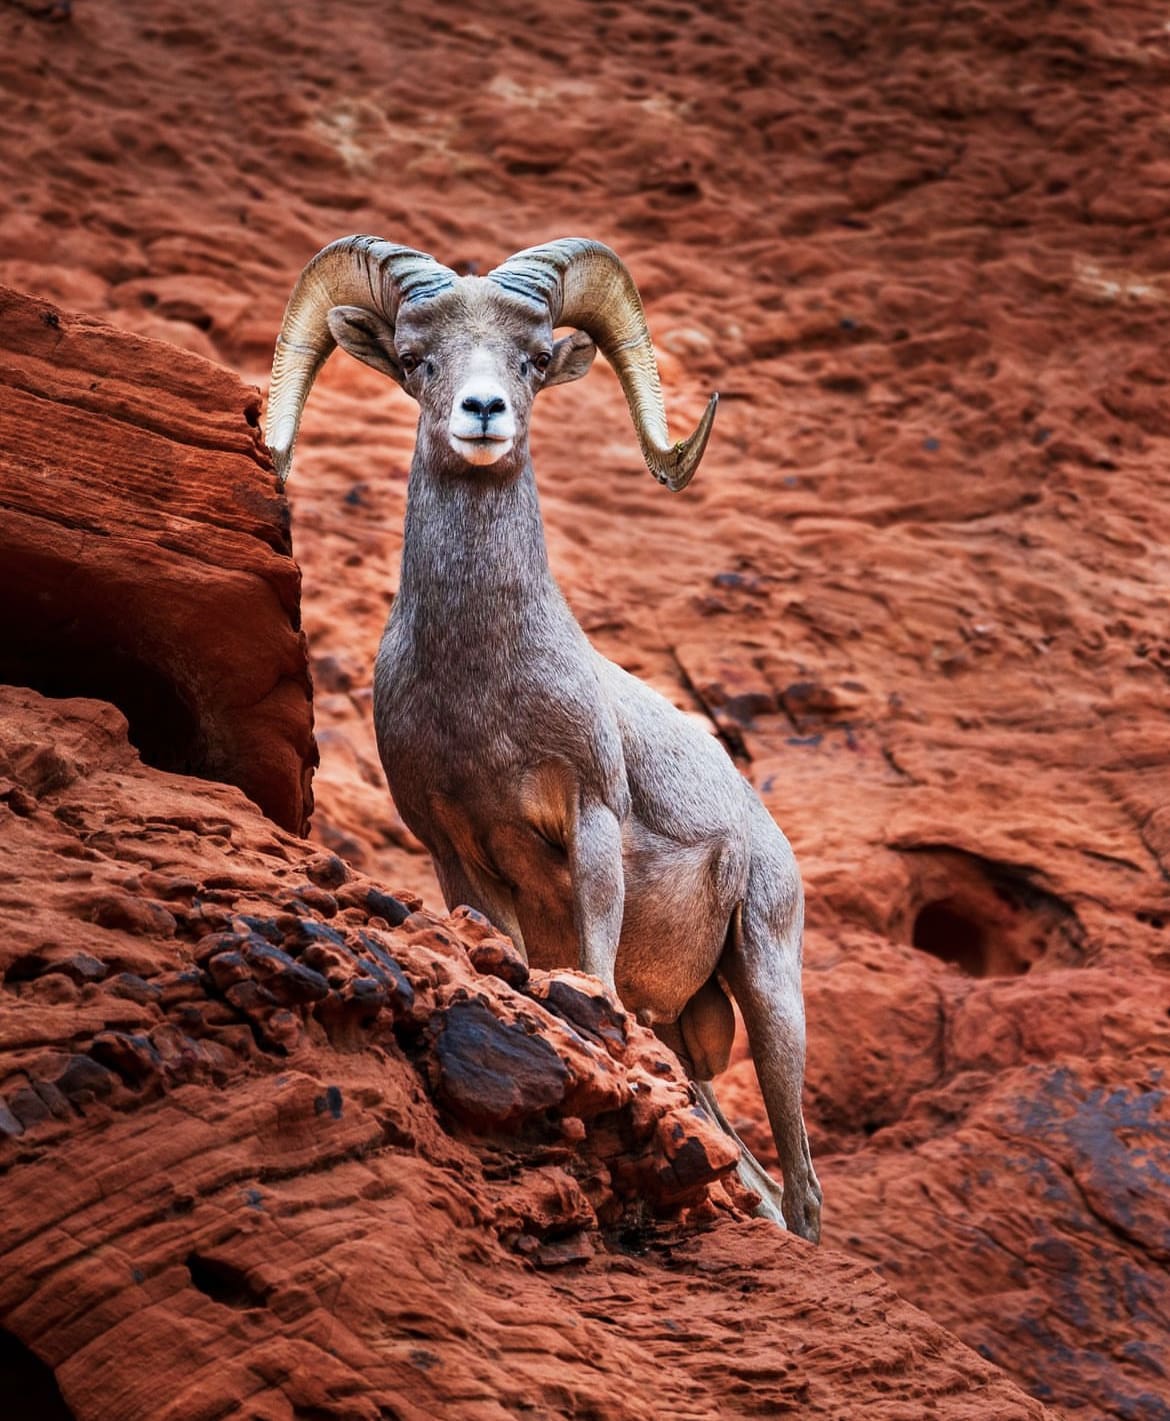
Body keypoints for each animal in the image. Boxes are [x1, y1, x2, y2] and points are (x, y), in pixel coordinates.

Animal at [265, 230, 824, 1233]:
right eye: (417, 360)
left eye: (529, 360)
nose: (483, 412)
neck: (487, 692)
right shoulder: (456, 852)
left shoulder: (589, 822)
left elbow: (593, 974)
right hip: (691, 1033)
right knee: (756, 1179)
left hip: (770, 986)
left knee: (800, 1190)